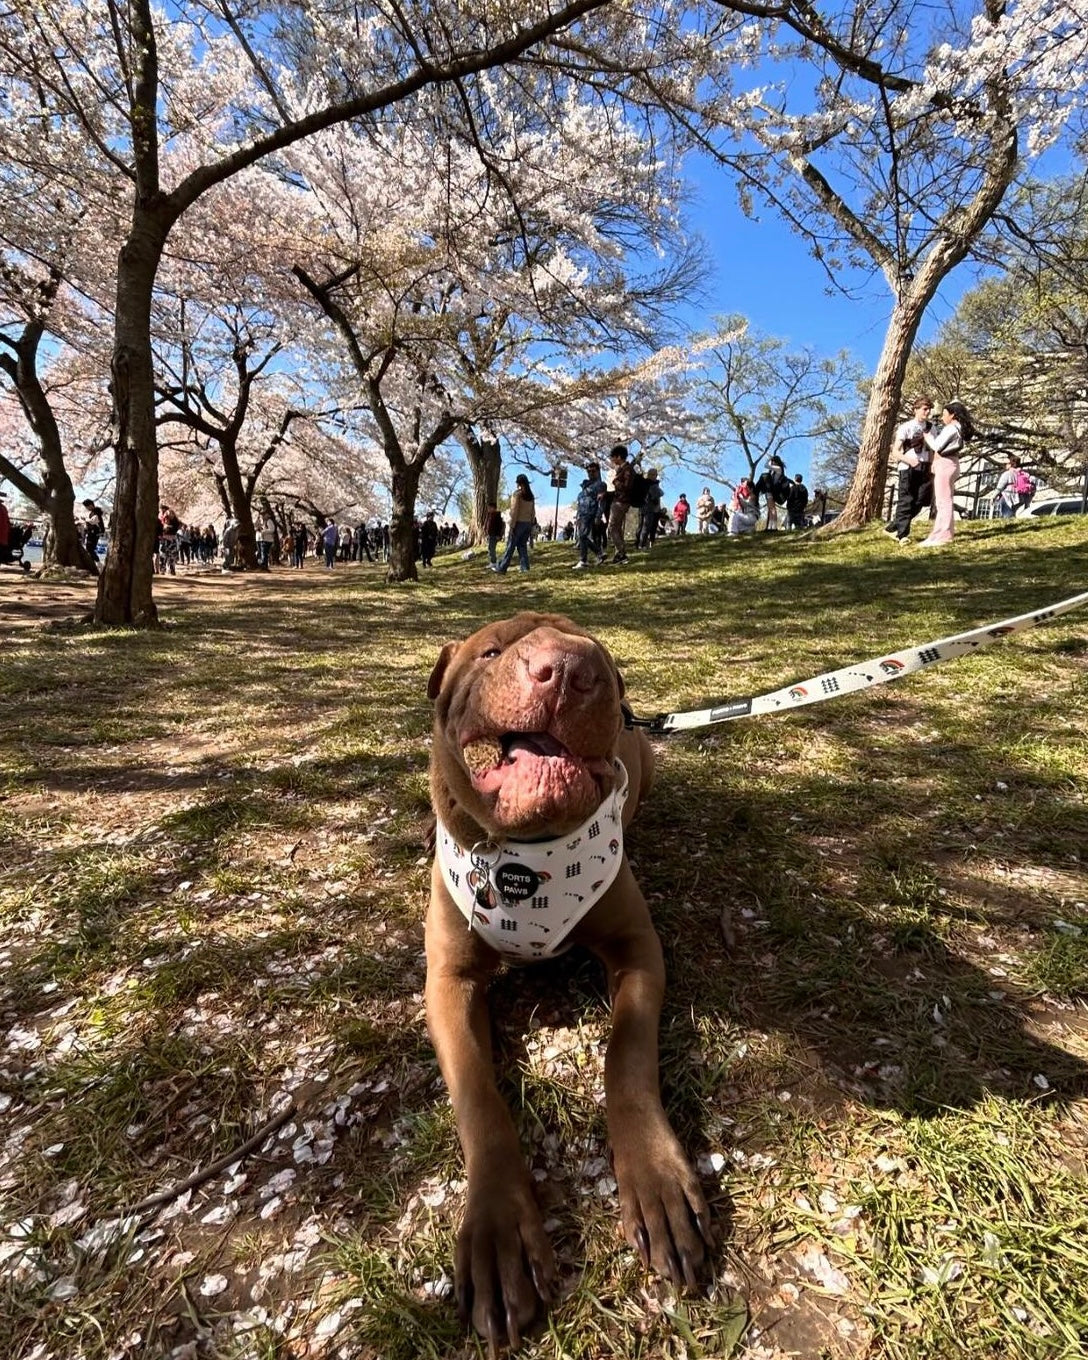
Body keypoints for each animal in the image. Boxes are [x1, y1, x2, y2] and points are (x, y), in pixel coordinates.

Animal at [424, 614, 712, 1349]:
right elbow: (480, 1098)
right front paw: (497, 1232)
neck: (528, 862)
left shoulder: (638, 950)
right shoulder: (448, 981)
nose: (570, 668)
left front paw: (658, 1181)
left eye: (601, 661)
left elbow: (627, 1058)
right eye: (491, 652)